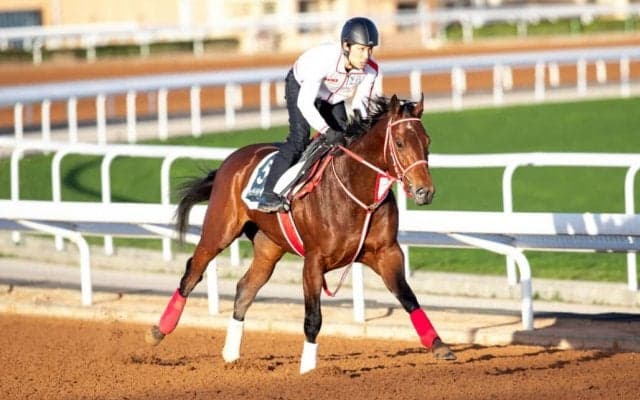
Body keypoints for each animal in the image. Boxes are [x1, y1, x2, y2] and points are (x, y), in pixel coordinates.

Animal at [145, 94, 456, 373]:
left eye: (427, 141)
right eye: (400, 142)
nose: (425, 191)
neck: (356, 189)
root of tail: (231, 160)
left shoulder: (386, 252)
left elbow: (407, 296)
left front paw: (439, 345)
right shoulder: (314, 261)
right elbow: (313, 317)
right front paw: (308, 370)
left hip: (269, 247)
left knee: (245, 288)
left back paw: (231, 356)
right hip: (219, 231)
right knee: (192, 273)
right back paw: (159, 330)